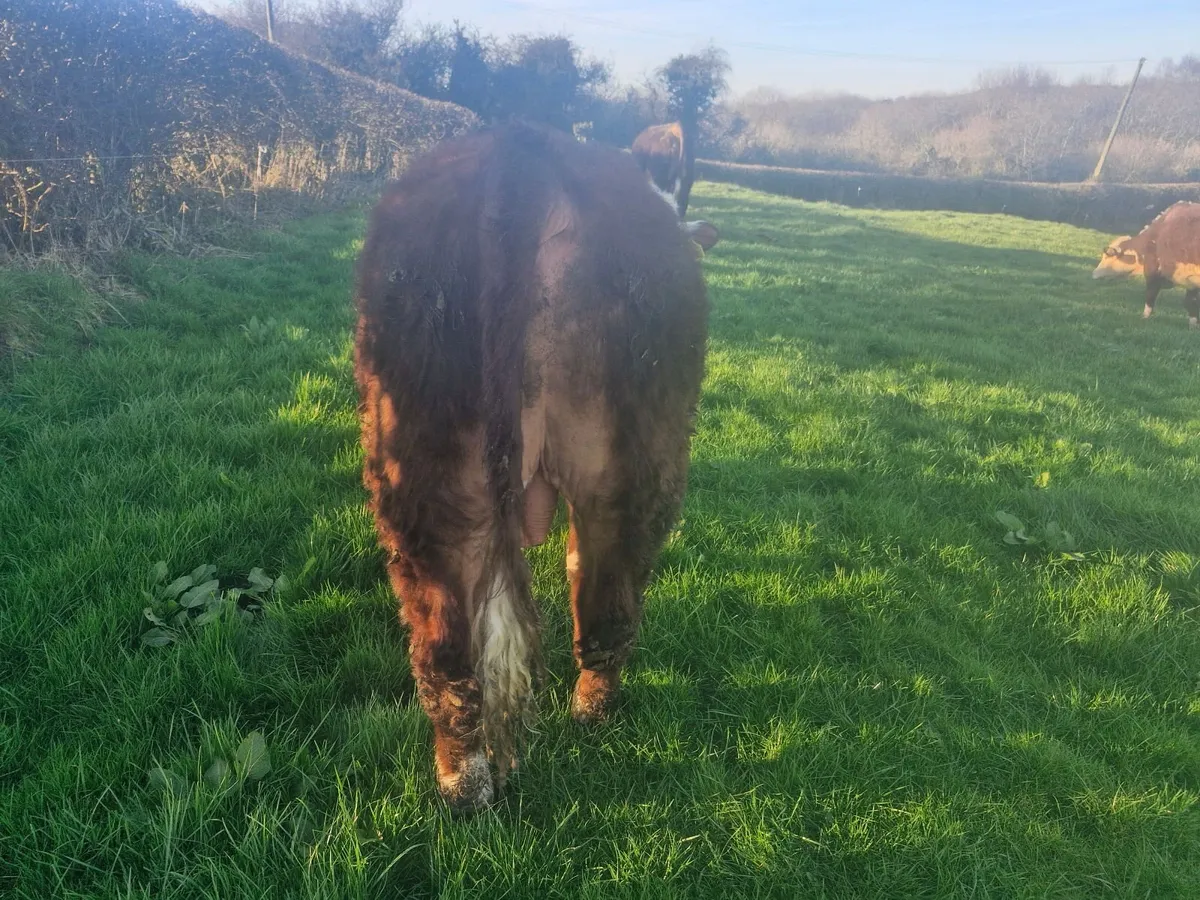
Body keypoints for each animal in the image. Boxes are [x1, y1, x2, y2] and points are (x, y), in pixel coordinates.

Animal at [352, 121, 714, 812]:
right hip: (639, 462)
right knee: (608, 605)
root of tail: (524, 148)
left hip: (426, 477)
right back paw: (592, 718)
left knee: (447, 651)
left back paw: (465, 788)